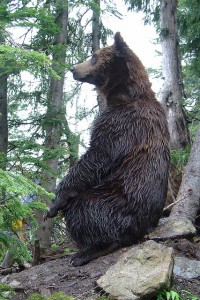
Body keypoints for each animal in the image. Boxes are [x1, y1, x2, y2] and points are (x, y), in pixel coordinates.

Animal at [45, 32, 170, 266]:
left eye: (94, 56)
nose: (73, 68)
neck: (123, 93)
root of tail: (144, 226)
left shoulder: (120, 123)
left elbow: (97, 155)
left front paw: (55, 203)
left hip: (117, 200)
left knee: (84, 208)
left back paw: (87, 251)